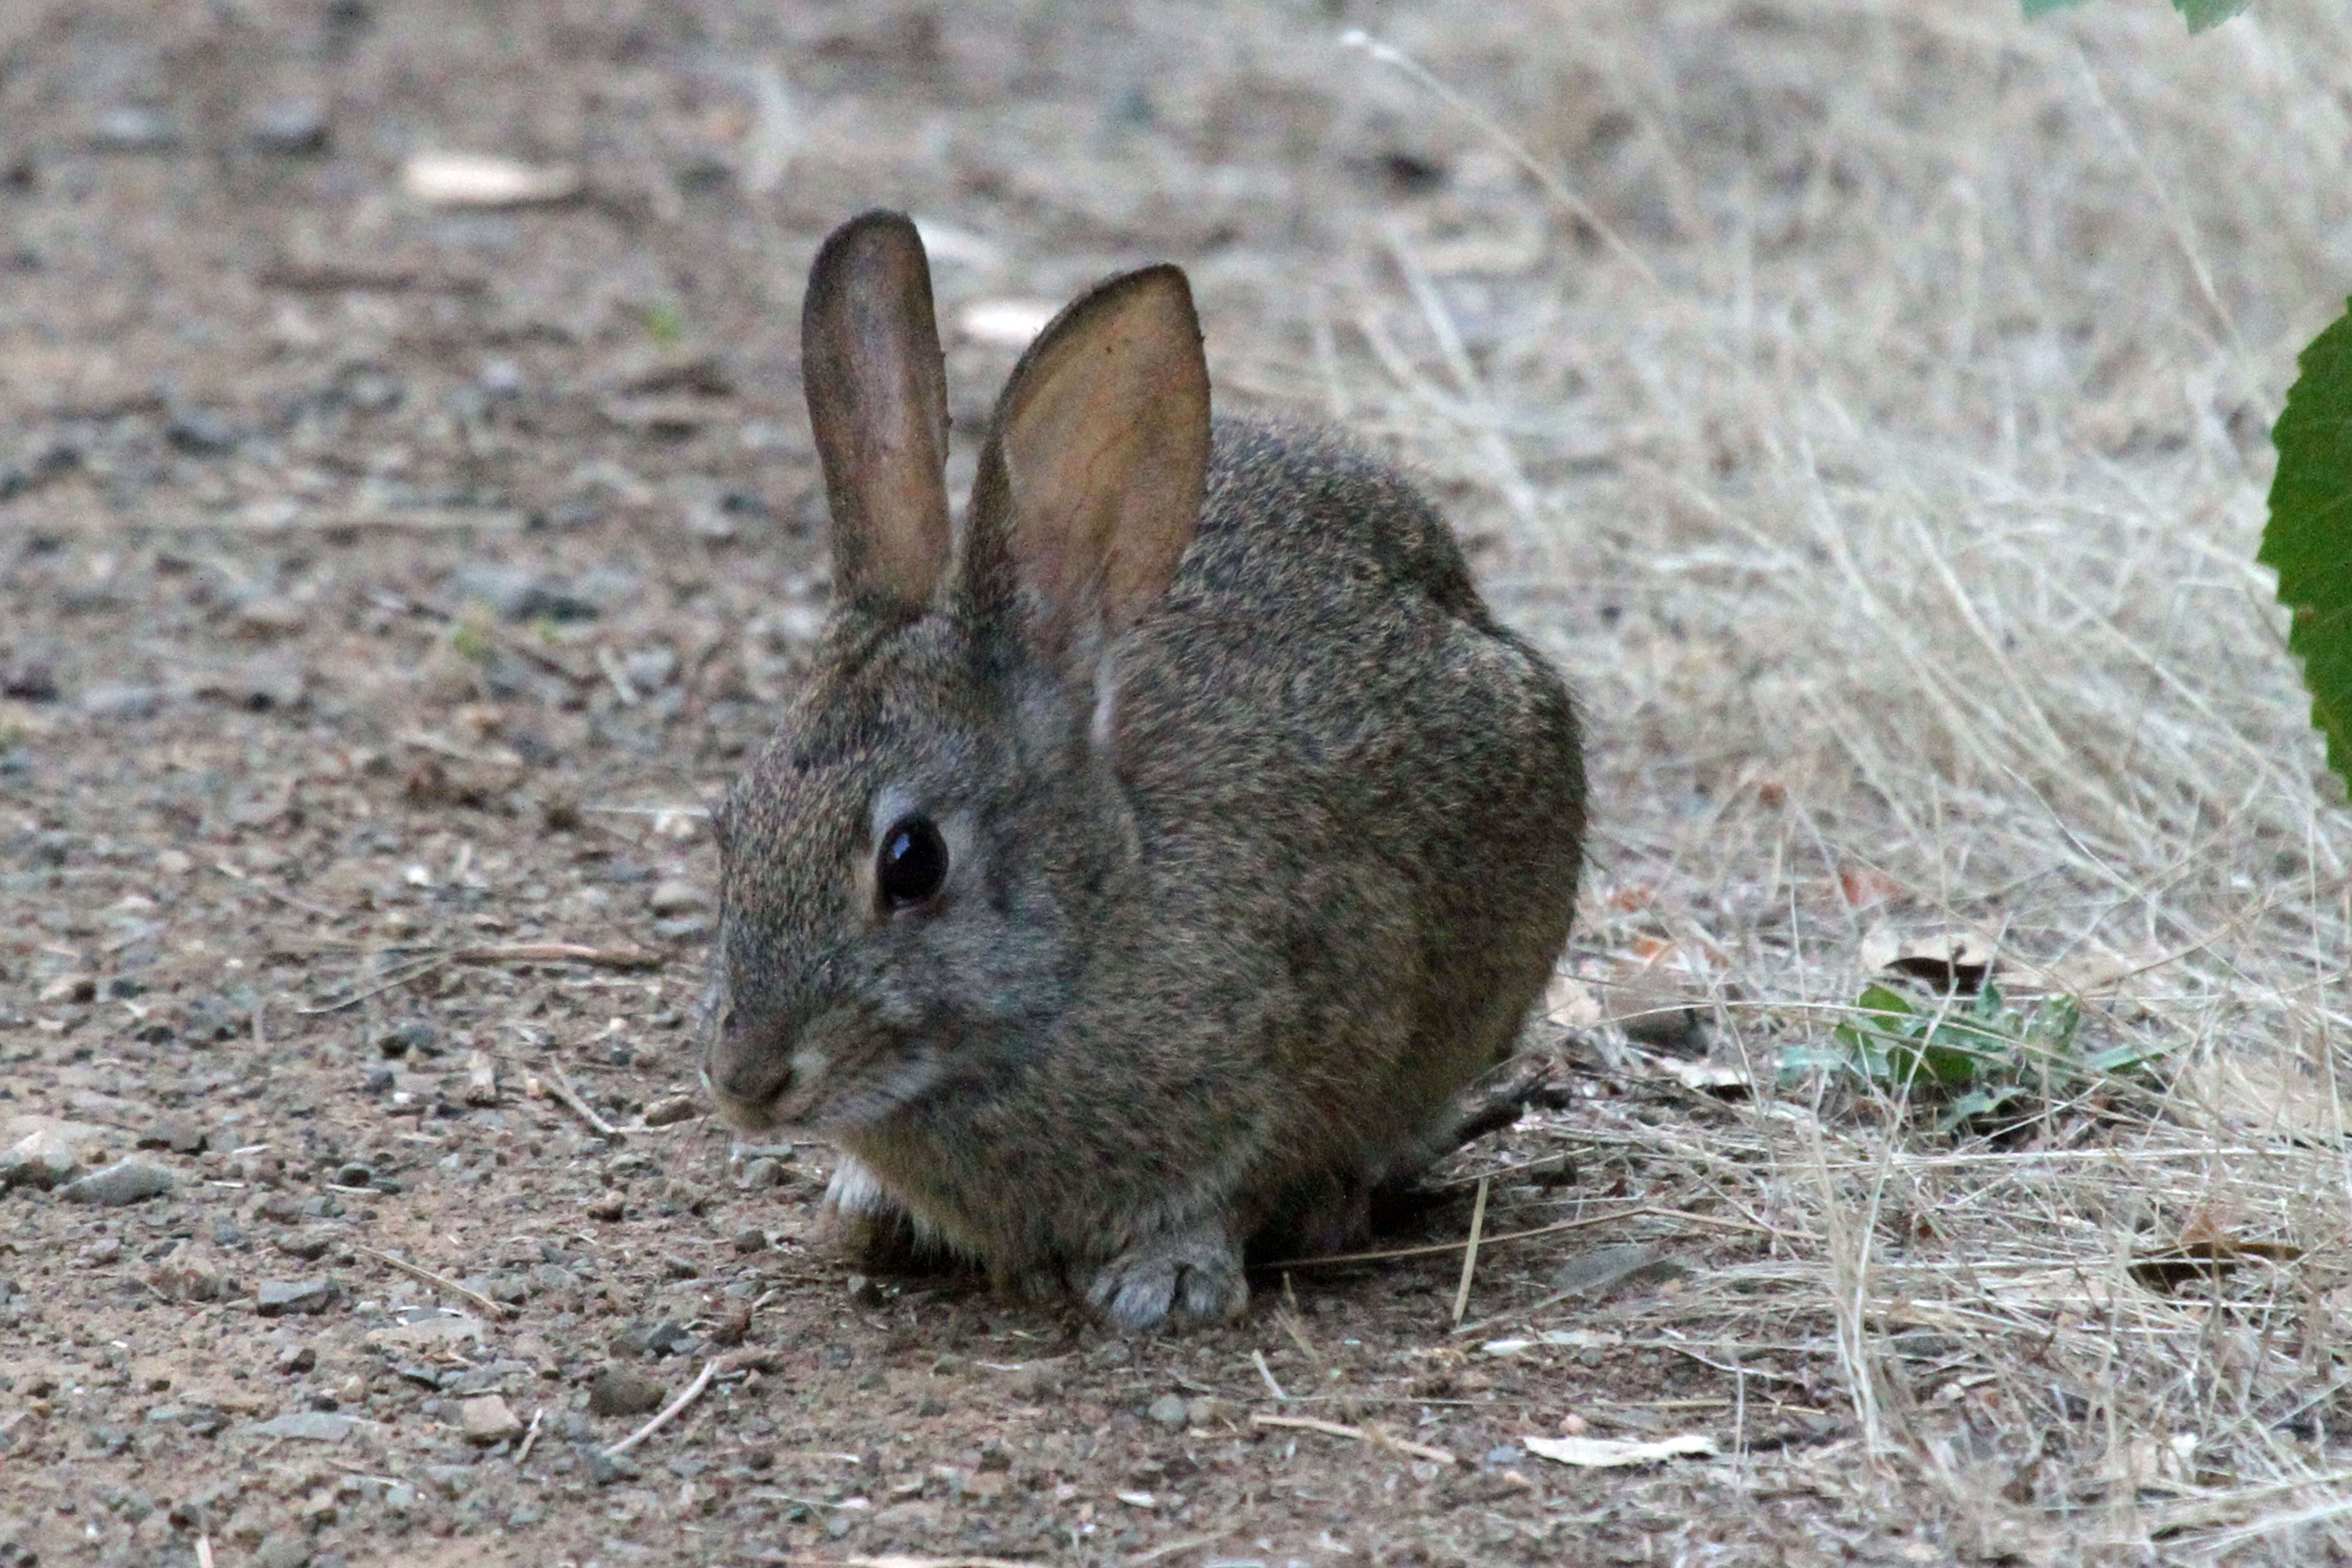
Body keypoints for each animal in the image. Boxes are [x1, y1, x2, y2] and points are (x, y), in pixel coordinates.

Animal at [696, 208, 1580, 1335]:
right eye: (731, 827)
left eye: (912, 861)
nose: (744, 1078)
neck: (1100, 914)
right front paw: (865, 1210)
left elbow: (1240, 1180)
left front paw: (1168, 1278)